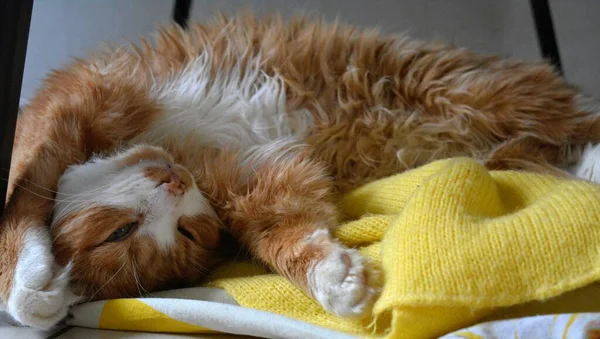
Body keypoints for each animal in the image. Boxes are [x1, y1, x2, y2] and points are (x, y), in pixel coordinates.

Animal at [1, 12, 600, 330]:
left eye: (120, 231)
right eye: (183, 231)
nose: (175, 182)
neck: (182, 152)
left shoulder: (70, 108)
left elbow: (17, 210)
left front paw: (31, 292)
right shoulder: (265, 178)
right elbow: (287, 241)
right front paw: (340, 280)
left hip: (472, 90)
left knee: (581, 117)